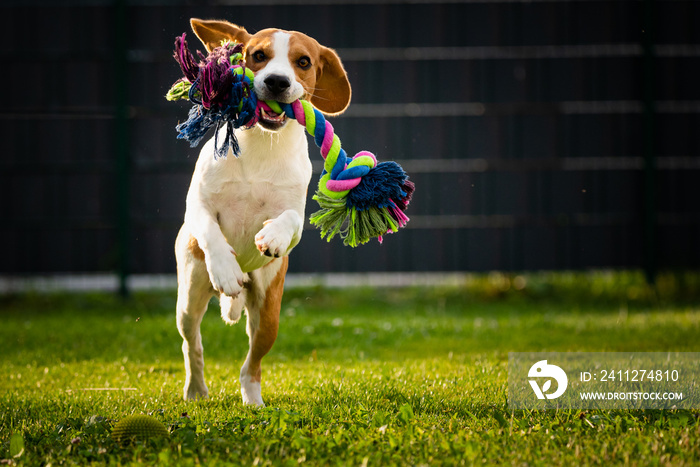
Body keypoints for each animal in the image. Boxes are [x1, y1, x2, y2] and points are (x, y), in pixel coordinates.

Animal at [174, 19, 350, 406]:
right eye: (257, 55)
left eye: (303, 62)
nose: (277, 82)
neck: (261, 146)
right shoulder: (197, 204)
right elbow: (208, 228)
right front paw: (225, 269)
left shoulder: (295, 209)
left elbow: (291, 220)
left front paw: (272, 236)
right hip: (189, 294)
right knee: (192, 344)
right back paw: (195, 390)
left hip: (269, 308)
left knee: (251, 363)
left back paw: (253, 401)